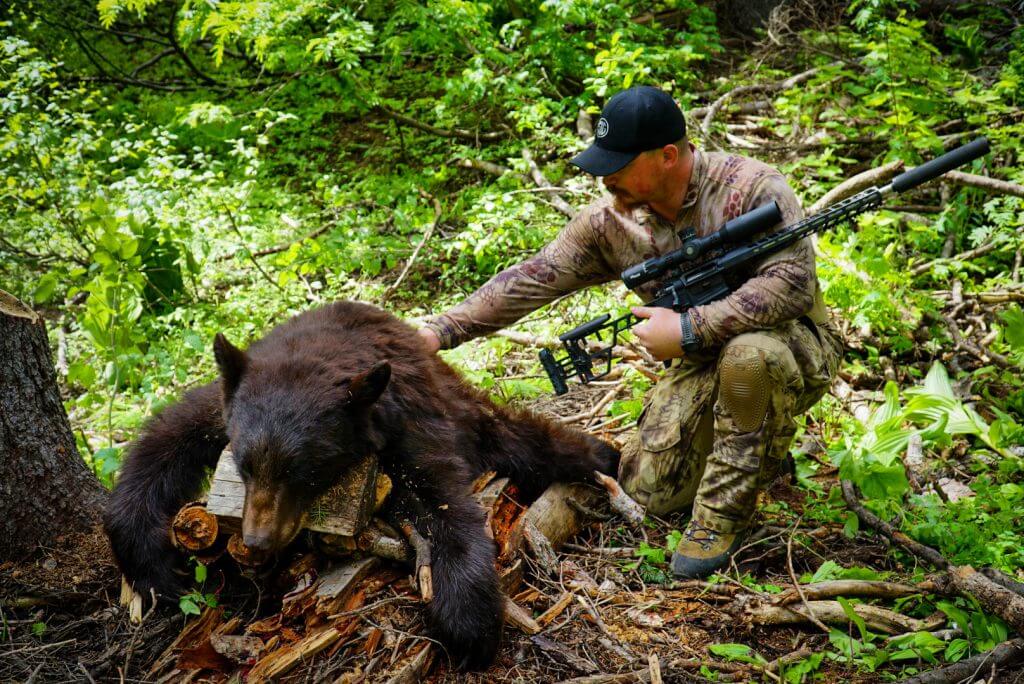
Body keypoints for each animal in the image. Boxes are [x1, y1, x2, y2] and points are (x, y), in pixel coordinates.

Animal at [103, 298, 618, 667]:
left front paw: (469, 623)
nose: (257, 540)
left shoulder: (406, 422)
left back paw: (601, 456)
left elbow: (443, 499)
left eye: (302, 469)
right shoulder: (222, 406)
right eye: (245, 464)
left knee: (522, 438)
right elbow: (163, 442)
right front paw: (156, 568)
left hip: (465, 406)